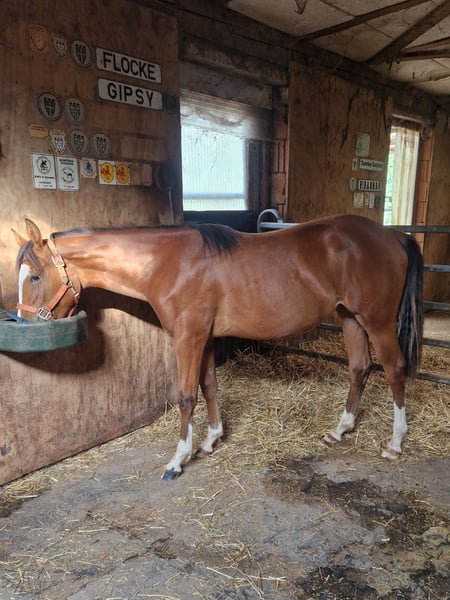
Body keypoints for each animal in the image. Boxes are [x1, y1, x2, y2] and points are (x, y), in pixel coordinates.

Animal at [13, 215, 423, 480]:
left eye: (35, 277)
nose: (24, 324)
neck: (167, 263)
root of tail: (394, 236)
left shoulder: (188, 336)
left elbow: (185, 396)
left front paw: (178, 459)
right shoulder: (205, 336)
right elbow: (209, 385)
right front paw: (211, 440)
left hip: (376, 321)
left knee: (395, 369)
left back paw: (395, 442)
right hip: (349, 317)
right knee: (359, 368)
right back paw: (341, 429)